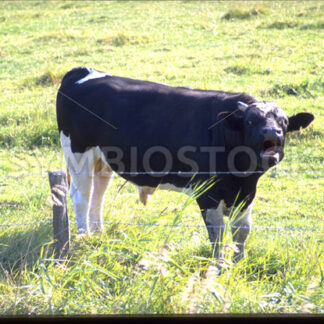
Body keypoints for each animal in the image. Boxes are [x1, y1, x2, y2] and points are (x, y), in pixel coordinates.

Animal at [55, 67, 314, 262]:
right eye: (251, 121)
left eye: (284, 122)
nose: (271, 132)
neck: (241, 176)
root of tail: (83, 71)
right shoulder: (207, 192)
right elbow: (217, 231)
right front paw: (217, 265)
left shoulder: (246, 193)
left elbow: (242, 230)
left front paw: (239, 262)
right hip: (78, 153)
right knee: (82, 196)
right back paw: (85, 237)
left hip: (103, 159)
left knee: (98, 194)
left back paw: (99, 234)